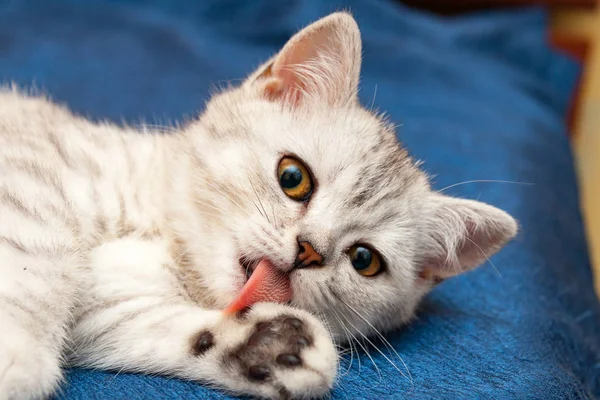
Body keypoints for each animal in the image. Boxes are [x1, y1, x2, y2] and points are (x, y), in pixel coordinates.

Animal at [0, 12, 516, 400]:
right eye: (293, 177)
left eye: (364, 260)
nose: (309, 249)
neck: (170, 243)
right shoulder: (33, 177)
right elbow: (32, 258)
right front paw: (17, 355)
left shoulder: (108, 307)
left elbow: (142, 325)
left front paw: (266, 346)